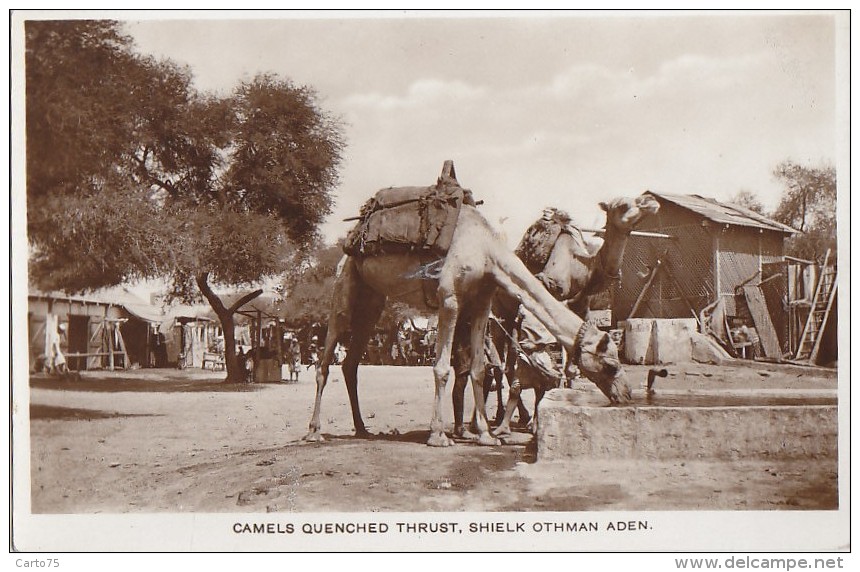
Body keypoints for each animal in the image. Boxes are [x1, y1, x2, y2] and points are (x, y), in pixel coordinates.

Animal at [302, 170, 632, 446]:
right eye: (611, 365)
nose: (626, 395)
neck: (486, 249)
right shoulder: (449, 299)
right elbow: (442, 368)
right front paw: (438, 435)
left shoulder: (482, 303)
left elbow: (479, 368)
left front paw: (486, 435)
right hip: (346, 285)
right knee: (325, 358)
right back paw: (314, 431)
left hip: (372, 301)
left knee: (351, 363)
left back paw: (361, 428)